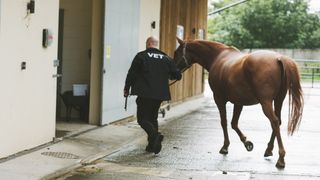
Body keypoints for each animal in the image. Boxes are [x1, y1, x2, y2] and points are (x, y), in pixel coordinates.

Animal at [174, 38, 304, 169]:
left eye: (177, 52)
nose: (175, 72)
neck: (217, 57)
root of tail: (279, 58)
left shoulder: (219, 99)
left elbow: (224, 122)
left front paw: (225, 147)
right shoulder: (238, 102)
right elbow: (234, 123)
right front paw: (247, 143)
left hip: (266, 102)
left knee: (274, 121)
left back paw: (281, 159)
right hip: (278, 100)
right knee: (278, 121)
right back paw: (268, 150)